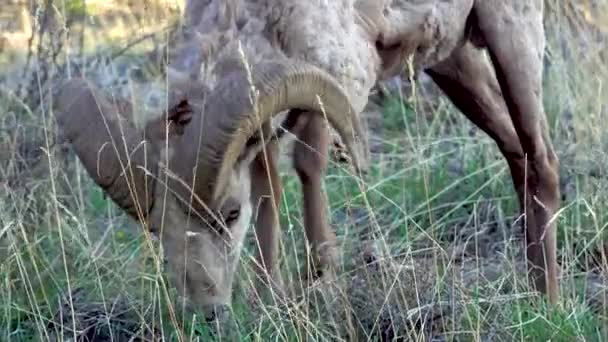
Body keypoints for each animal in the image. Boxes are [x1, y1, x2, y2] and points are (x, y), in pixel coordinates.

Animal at [55, 0, 560, 318]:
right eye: (158, 229)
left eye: (228, 215)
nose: (206, 312)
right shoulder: (262, 135)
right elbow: (270, 196)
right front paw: (270, 297)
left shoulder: (333, 89)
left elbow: (308, 168)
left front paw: (324, 281)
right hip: (455, 63)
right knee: (517, 154)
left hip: (511, 36)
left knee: (543, 162)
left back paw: (549, 302)